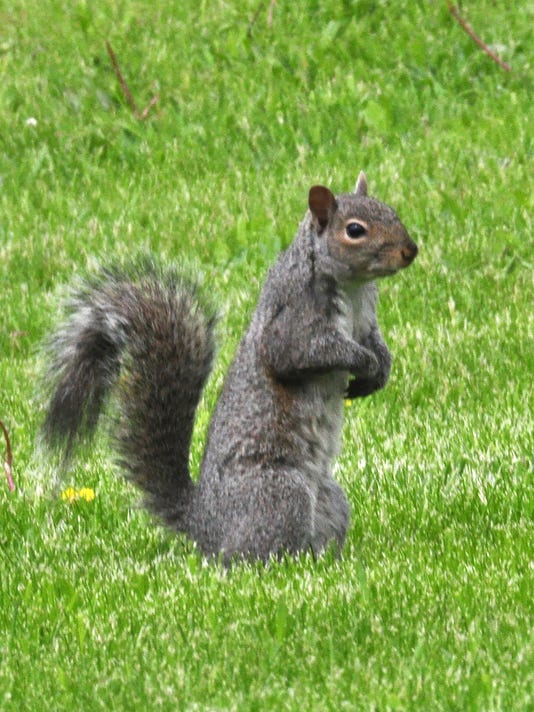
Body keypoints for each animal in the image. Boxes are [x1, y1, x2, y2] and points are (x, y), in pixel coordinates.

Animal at [42, 172, 417, 564]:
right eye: (355, 230)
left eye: (391, 210)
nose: (410, 251)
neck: (353, 288)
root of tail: (205, 525)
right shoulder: (294, 320)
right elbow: (297, 353)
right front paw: (364, 361)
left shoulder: (367, 320)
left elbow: (377, 344)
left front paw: (379, 371)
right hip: (281, 493)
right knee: (250, 554)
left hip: (330, 499)